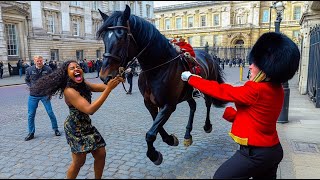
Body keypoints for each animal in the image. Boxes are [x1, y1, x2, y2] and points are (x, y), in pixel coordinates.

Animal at [97, 5, 225, 166]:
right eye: (103, 37)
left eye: (122, 37)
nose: (104, 75)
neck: (157, 68)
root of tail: (209, 55)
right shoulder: (150, 103)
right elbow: (157, 125)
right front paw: (169, 139)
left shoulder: (169, 105)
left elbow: (151, 133)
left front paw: (154, 154)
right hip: (187, 94)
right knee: (193, 106)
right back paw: (188, 134)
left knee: (208, 103)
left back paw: (207, 126)